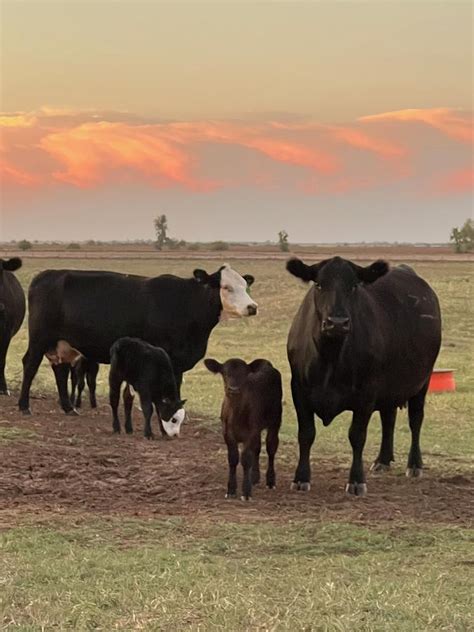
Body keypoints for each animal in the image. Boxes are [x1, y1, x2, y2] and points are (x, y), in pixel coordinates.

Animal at [18, 262, 258, 414]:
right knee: (30, 364)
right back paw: (24, 406)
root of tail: (47, 274)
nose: (252, 307)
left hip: (63, 344)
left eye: (245, 286)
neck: (186, 303)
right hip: (40, 338)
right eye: (226, 287)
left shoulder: (178, 362)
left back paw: (69, 408)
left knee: (60, 370)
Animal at [204, 358, 282, 502]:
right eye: (225, 373)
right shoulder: (227, 433)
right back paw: (255, 477)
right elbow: (233, 458)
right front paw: (231, 490)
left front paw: (246, 492)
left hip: (275, 421)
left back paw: (270, 481)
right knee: (257, 449)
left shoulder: (251, 432)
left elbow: (245, 459)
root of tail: (266, 363)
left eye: (244, 374)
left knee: (271, 448)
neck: (237, 414)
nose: (233, 389)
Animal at [286, 256, 440, 494]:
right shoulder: (299, 390)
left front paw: (356, 480)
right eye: (319, 284)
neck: (330, 356)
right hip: (390, 387)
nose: (337, 322)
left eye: (354, 286)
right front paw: (301, 478)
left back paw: (414, 464)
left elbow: (357, 436)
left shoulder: (367, 393)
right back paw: (383, 460)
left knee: (415, 420)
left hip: (422, 381)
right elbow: (306, 434)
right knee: (388, 418)